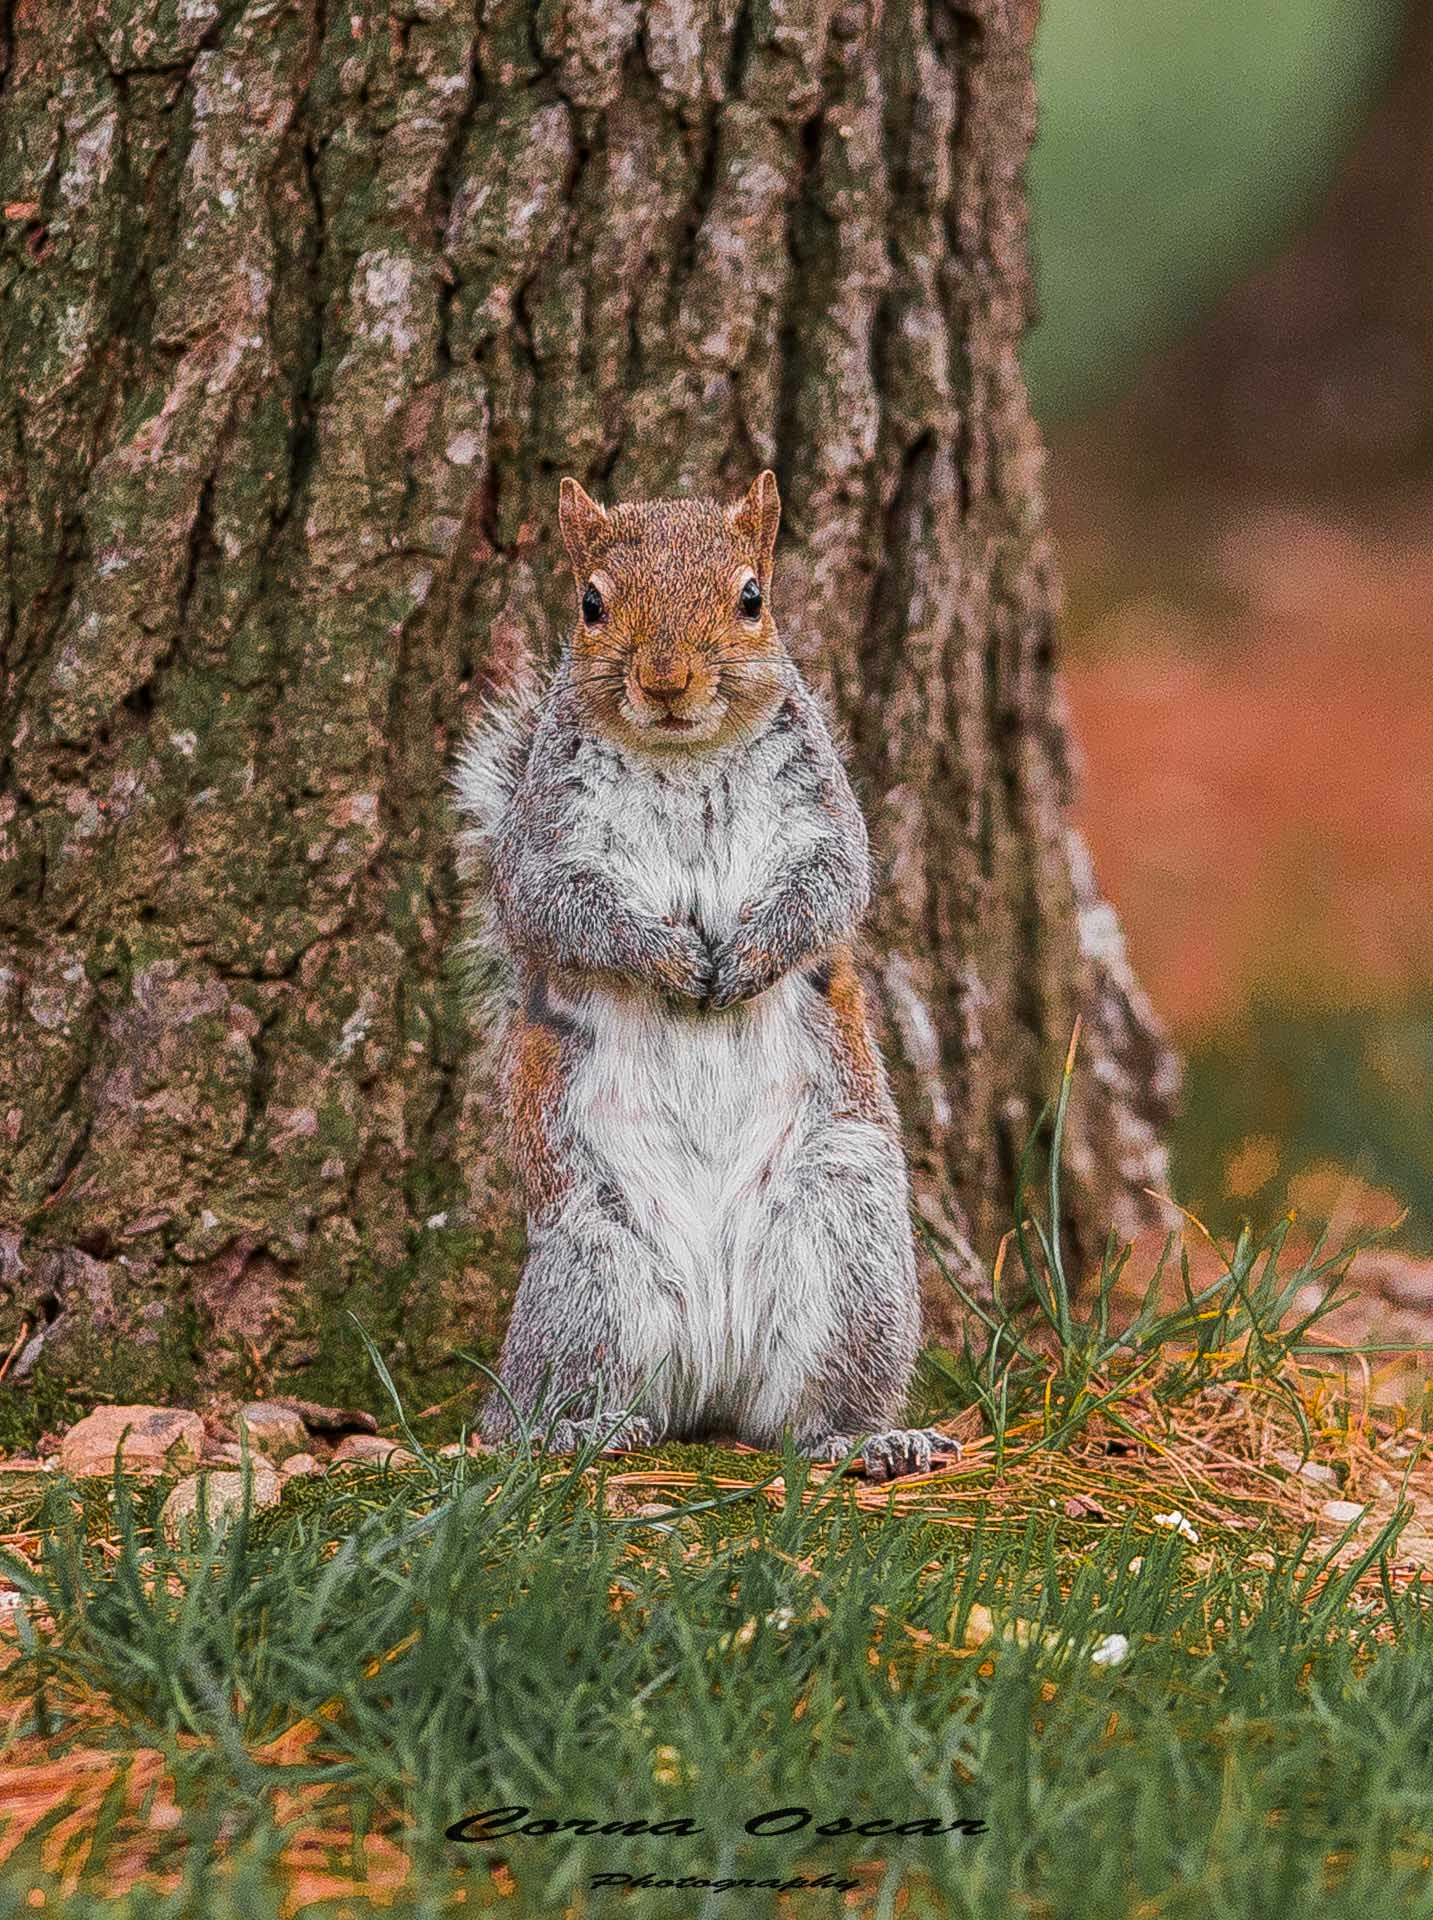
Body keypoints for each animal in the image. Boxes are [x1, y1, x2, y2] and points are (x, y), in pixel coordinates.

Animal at [450, 471, 959, 1483]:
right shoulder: (543, 845)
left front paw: (752, 956)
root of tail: (712, 1373)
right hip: (590, 1269)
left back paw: (866, 1438)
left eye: (752, 597)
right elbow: (561, 910)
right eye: (590, 603)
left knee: (802, 1415)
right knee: (532, 1407)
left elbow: (832, 886)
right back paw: (574, 1430)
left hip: (849, 1248)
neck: (682, 759)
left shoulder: (822, 814)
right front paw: (667, 957)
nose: (665, 679)